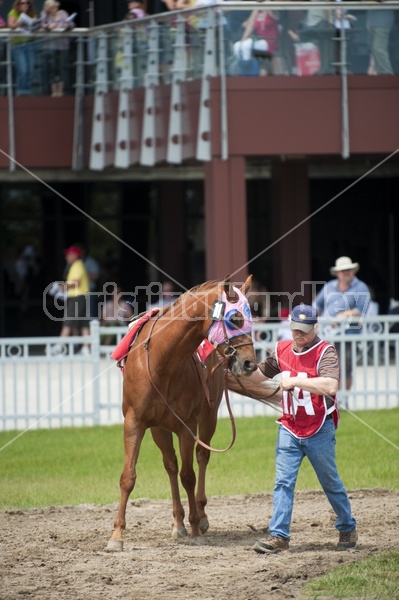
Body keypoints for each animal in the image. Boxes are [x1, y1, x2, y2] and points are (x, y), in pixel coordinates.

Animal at [108, 274, 260, 552]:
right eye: (235, 318)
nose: (248, 364)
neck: (162, 361)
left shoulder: (187, 427)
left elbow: (188, 476)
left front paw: (196, 528)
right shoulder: (135, 423)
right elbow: (129, 477)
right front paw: (117, 535)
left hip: (209, 417)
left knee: (201, 457)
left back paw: (200, 515)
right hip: (160, 429)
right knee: (170, 465)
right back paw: (178, 523)